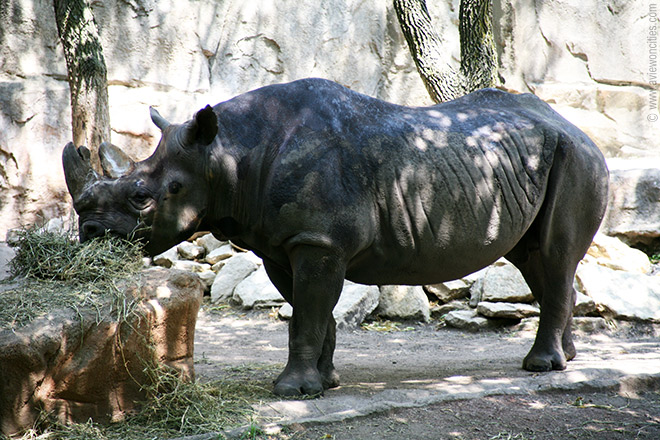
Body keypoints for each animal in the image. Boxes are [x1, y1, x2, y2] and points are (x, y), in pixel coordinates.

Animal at [63, 78, 609, 396]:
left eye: (142, 198)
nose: (89, 234)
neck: (228, 151)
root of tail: (574, 125)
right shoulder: (285, 243)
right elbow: (312, 312)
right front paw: (324, 383)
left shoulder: (318, 240)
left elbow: (308, 312)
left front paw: (291, 392)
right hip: (538, 160)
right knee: (537, 261)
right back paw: (567, 359)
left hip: (577, 158)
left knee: (553, 255)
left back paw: (541, 367)